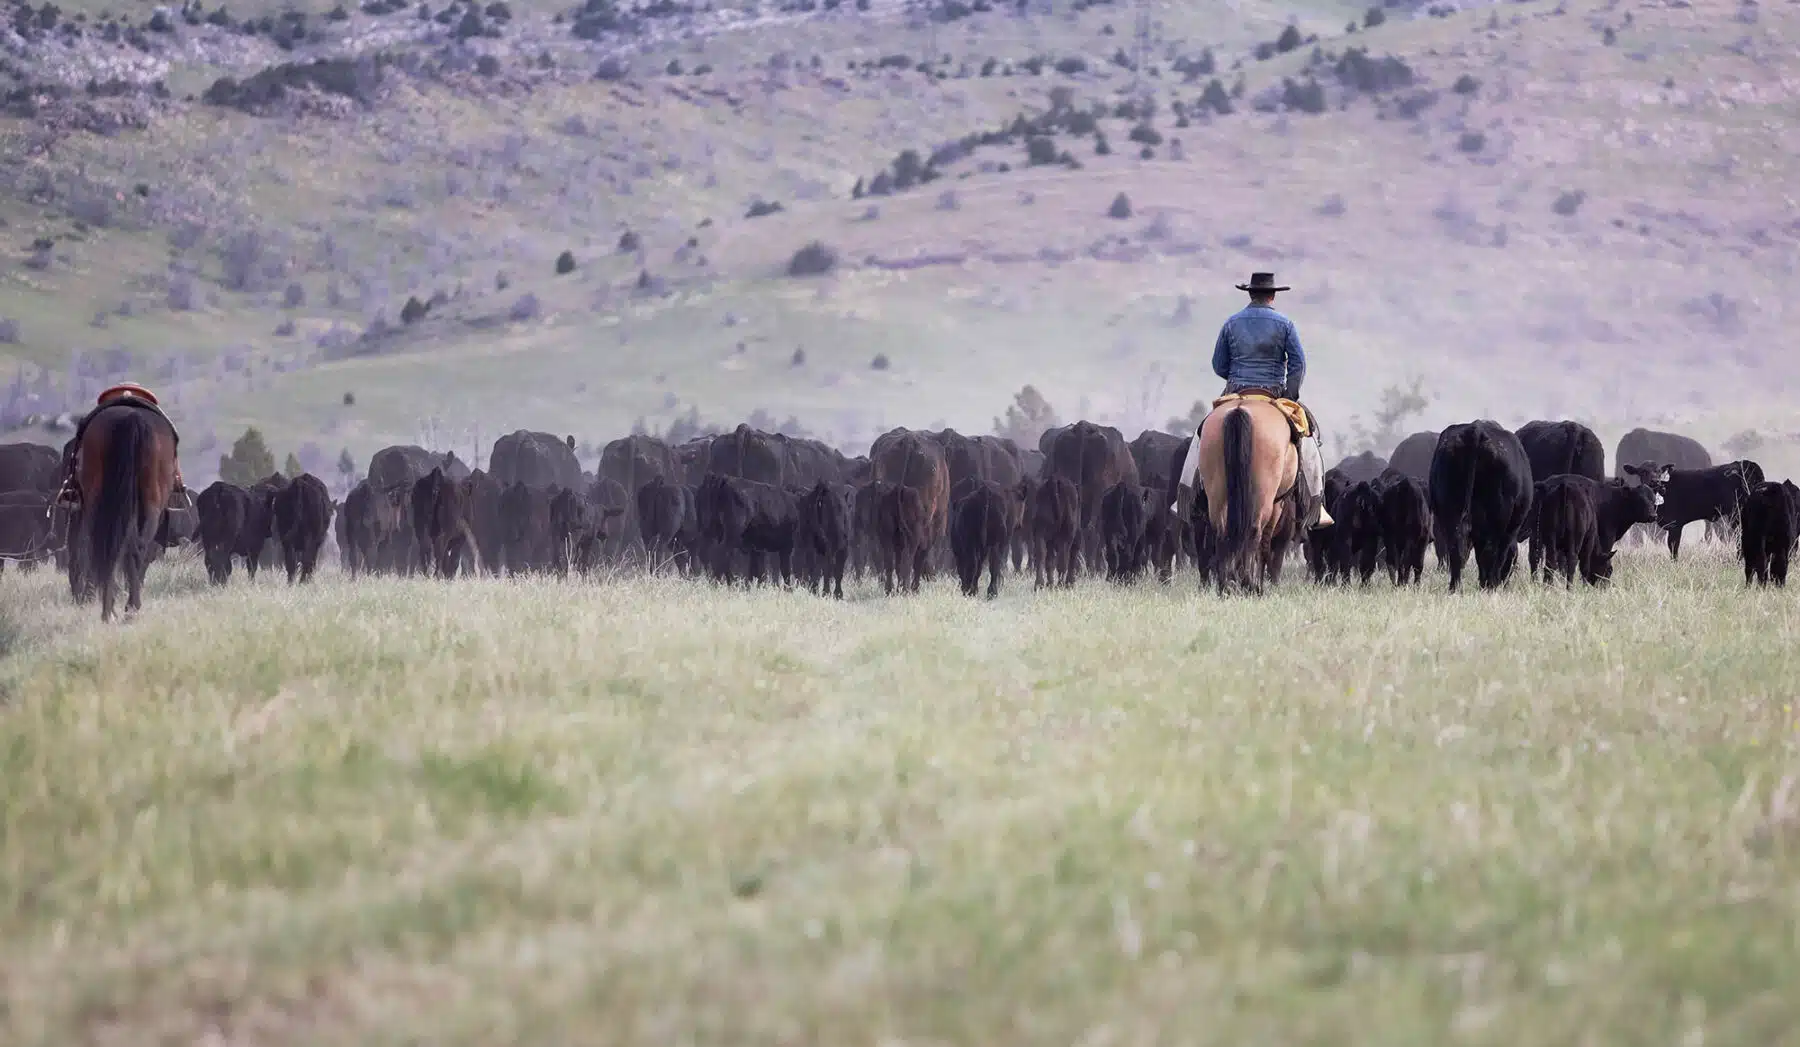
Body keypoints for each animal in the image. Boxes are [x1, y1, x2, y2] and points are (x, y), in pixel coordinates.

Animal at [70, 404, 179, 622]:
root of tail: (132, 417)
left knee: (108, 545)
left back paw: (108, 608)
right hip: (150, 503)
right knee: (133, 547)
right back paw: (128, 606)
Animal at [1202, 397, 1303, 593]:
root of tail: (1240, 409)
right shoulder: (1276, 505)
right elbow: (1264, 544)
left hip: (1216, 491)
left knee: (1222, 532)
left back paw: (1225, 585)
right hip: (1264, 497)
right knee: (1254, 532)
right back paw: (1250, 585)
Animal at [1425, 420, 1526, 600]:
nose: (1506, 584)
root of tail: (1476, 429)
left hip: (1450, 512)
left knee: (1456, 548)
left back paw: (1455, 588)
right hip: (1497, 518)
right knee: (1491, 552)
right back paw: (1490, 586)